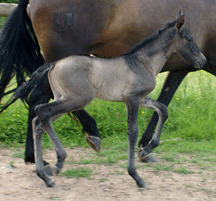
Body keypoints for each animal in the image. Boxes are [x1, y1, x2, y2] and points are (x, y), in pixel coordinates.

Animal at [0, 0, 215, 165]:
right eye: (188, 38)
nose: (202, 59)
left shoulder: (173, 74)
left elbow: (163, 104)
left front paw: (145, 148)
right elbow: (158, 107)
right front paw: (145, 148)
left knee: (43, 104)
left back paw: (35, 156)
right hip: (63, 61)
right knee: (41, 101)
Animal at [31, 13, 205, 188]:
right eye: (189, 39)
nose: (202, 60)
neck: (143, 62)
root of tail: (53, 65)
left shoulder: (142, 98)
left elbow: (163, 109)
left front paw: (146, 149)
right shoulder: (132, 98)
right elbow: (132, 132)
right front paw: (136, 176)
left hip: (64, 98)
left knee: (38, 121)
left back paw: (44, 175)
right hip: (77, 99)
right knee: (42, 111)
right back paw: (59, 161)